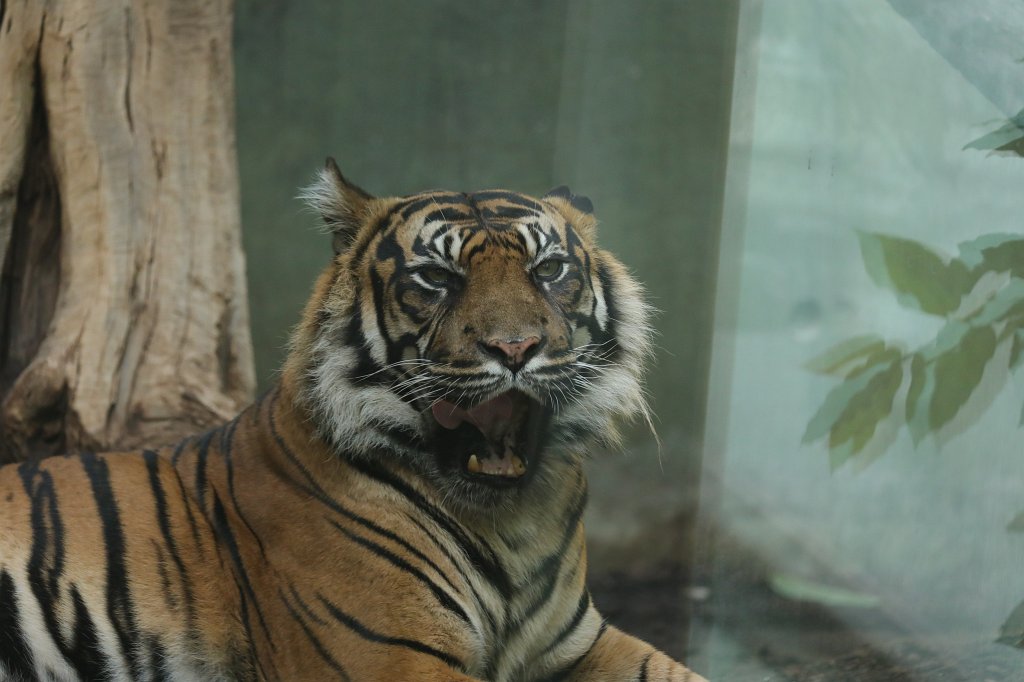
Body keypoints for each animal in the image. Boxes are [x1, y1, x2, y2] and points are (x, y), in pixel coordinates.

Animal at [0, 160, 709, 682]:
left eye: (550, 269)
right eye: (436, 277)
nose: (515, 349)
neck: (511, 521)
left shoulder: (580, 643)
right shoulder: (392, 657)